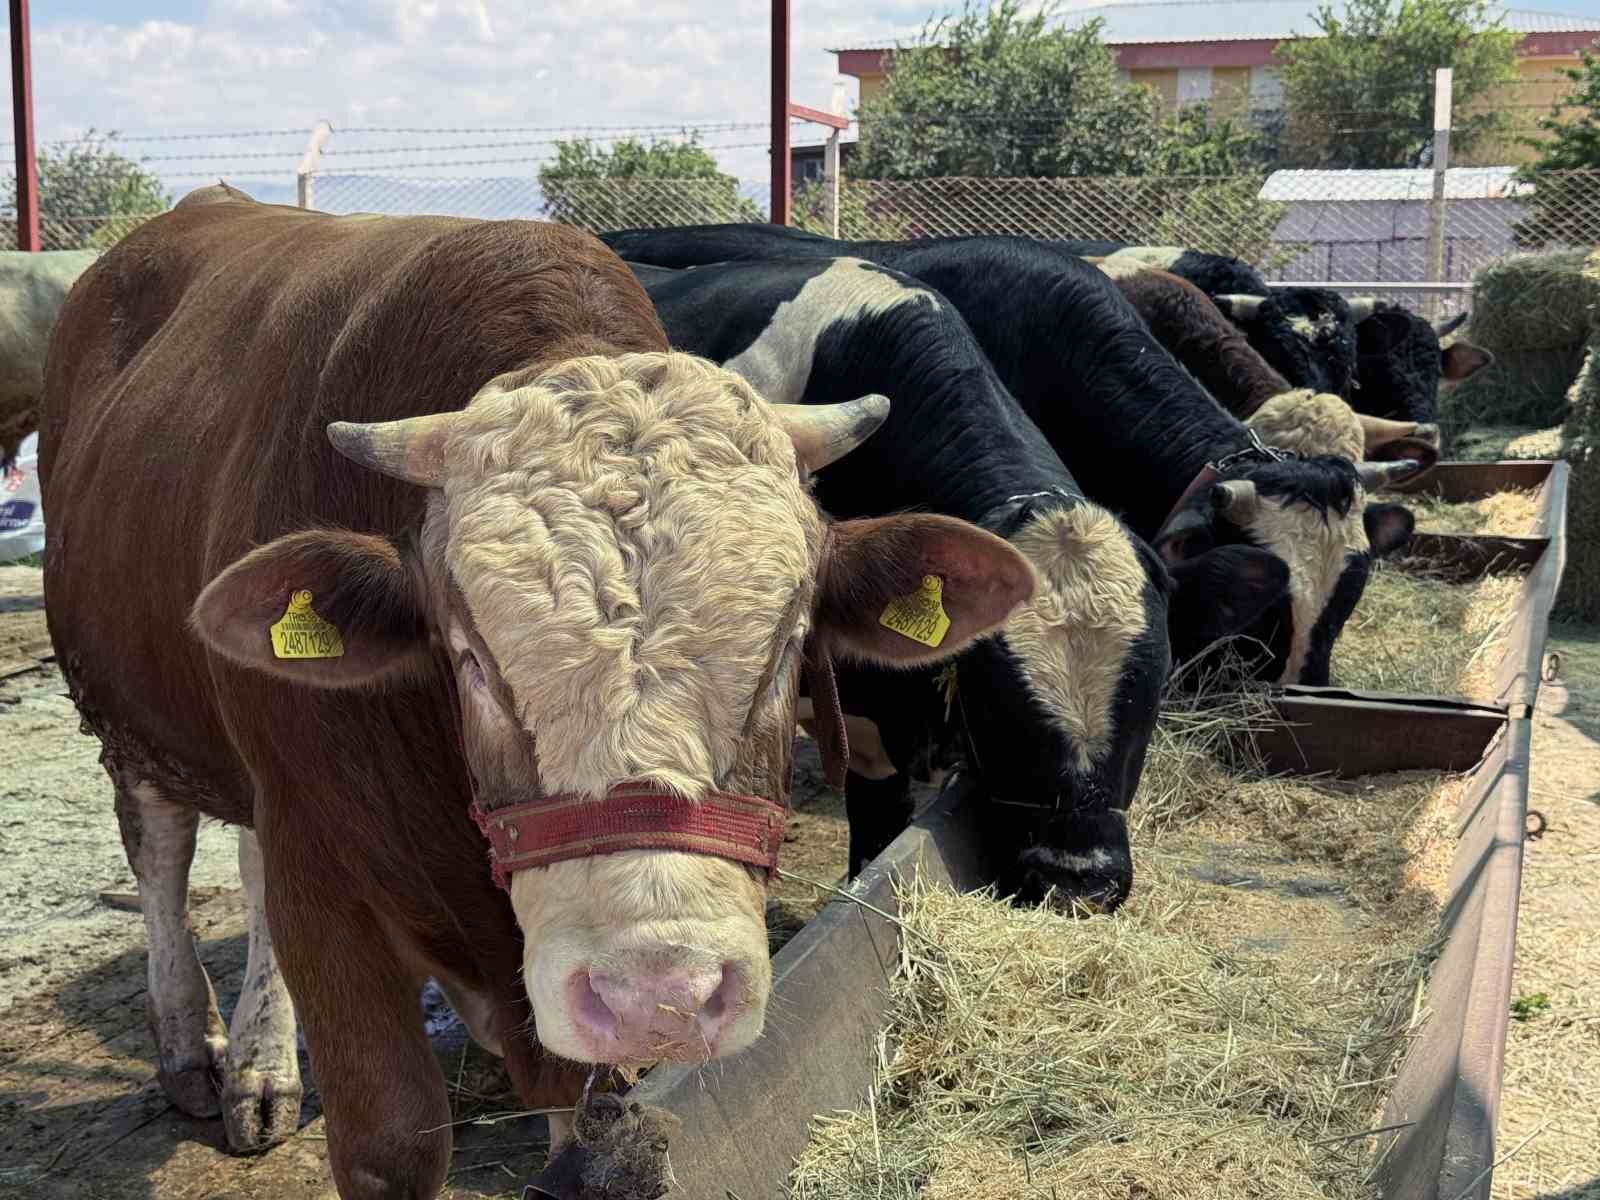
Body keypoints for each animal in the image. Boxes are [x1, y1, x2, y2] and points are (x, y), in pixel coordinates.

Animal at [43, 183, 1036, 1196]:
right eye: (469, 656)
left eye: (790, 641)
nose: (656, 994)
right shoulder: (320, 873)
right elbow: (391, 1139)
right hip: (125, 717)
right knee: (160, 847)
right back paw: (204, 1053)